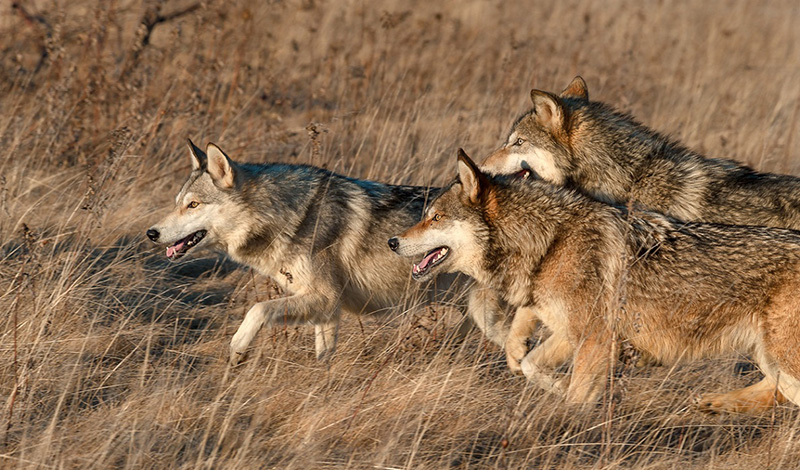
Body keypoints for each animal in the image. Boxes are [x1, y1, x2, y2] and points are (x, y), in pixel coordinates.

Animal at [145, 140, 506, 364]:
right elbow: (323, 354)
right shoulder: (327, 310)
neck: (285, 216)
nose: (152, 233)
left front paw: (237, 350)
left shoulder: (325, 298)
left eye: (193, 205)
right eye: (178, 203)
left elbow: (257, 310)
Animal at [390, 149, 800, 414]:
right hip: (767, 357)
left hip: (781, 358)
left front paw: (568, 417)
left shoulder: (595, 337)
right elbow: (530, 364)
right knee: (774, 392)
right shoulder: (571, 332)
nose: (393, 241)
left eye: (435, 217)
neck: (550, 242)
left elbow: (570, 389)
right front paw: (558, 388)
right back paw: (714, 404)